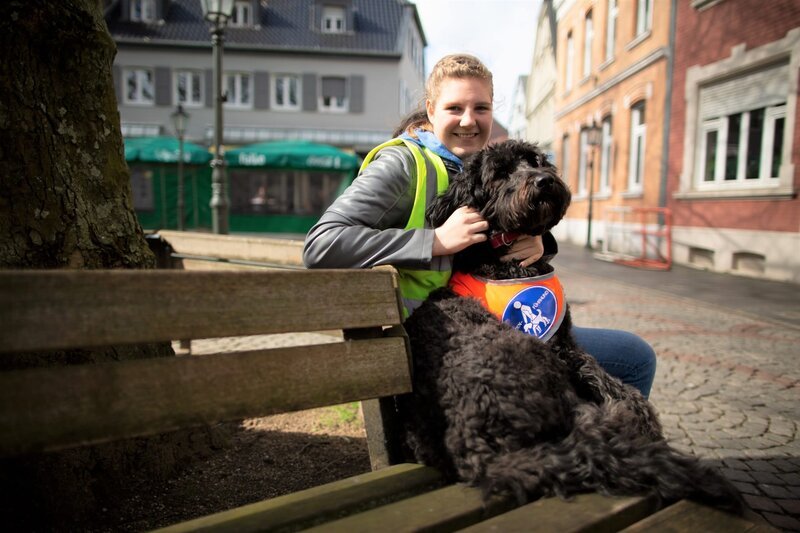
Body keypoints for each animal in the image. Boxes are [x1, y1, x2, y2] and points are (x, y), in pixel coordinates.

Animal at [400, 138, 744, 512]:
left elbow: (605, 378)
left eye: (536, 160)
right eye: (500, 172)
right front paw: (640, 417)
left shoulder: (566, 345)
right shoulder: (554, 347)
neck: (503, 258)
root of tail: (480, 448)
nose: (543, 181)